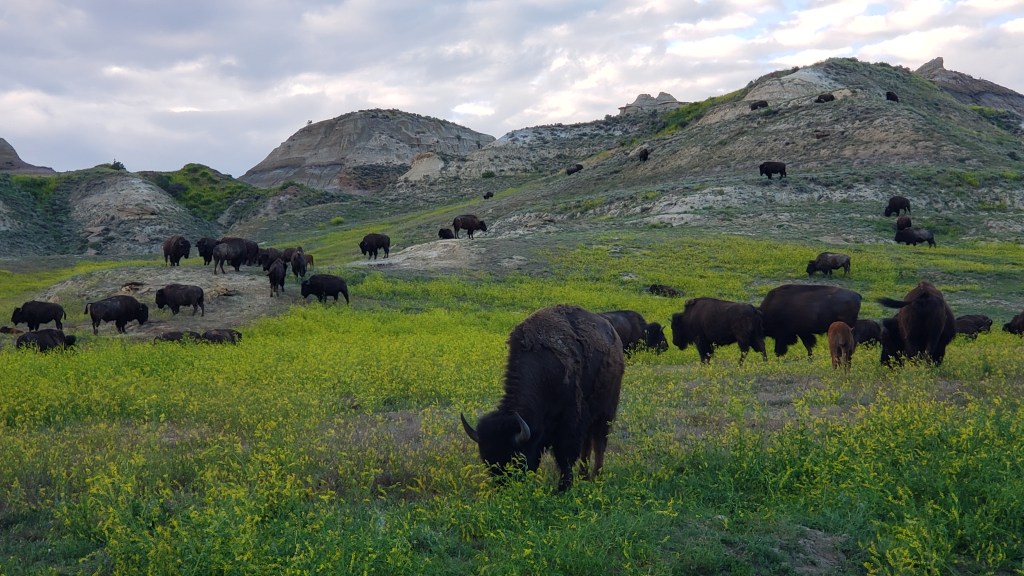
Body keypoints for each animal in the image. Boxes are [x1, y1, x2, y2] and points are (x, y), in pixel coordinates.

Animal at [461, 305, 624, 492]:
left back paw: (596, 478)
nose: (504, 489)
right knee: (588, 444)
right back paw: (584, 477)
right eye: (487, 461)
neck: (544, 372)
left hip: (606, 413)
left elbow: (565, 457)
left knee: (599, 443)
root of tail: (615, 339)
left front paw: (562, 488)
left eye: (517, 459)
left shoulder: (570, 422)